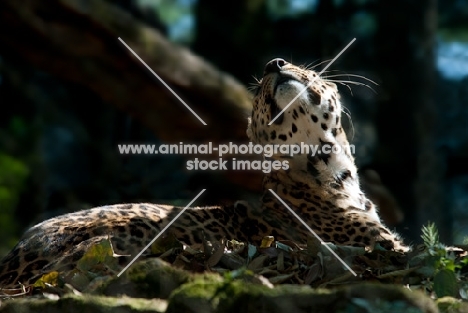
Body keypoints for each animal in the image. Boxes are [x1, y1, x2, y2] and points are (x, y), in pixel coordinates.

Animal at [0, 57, 410, 286]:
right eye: (258, 95)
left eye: (307, 68)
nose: (273, 63)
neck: (328, 167)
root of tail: (14, 256)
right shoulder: (381, 247)